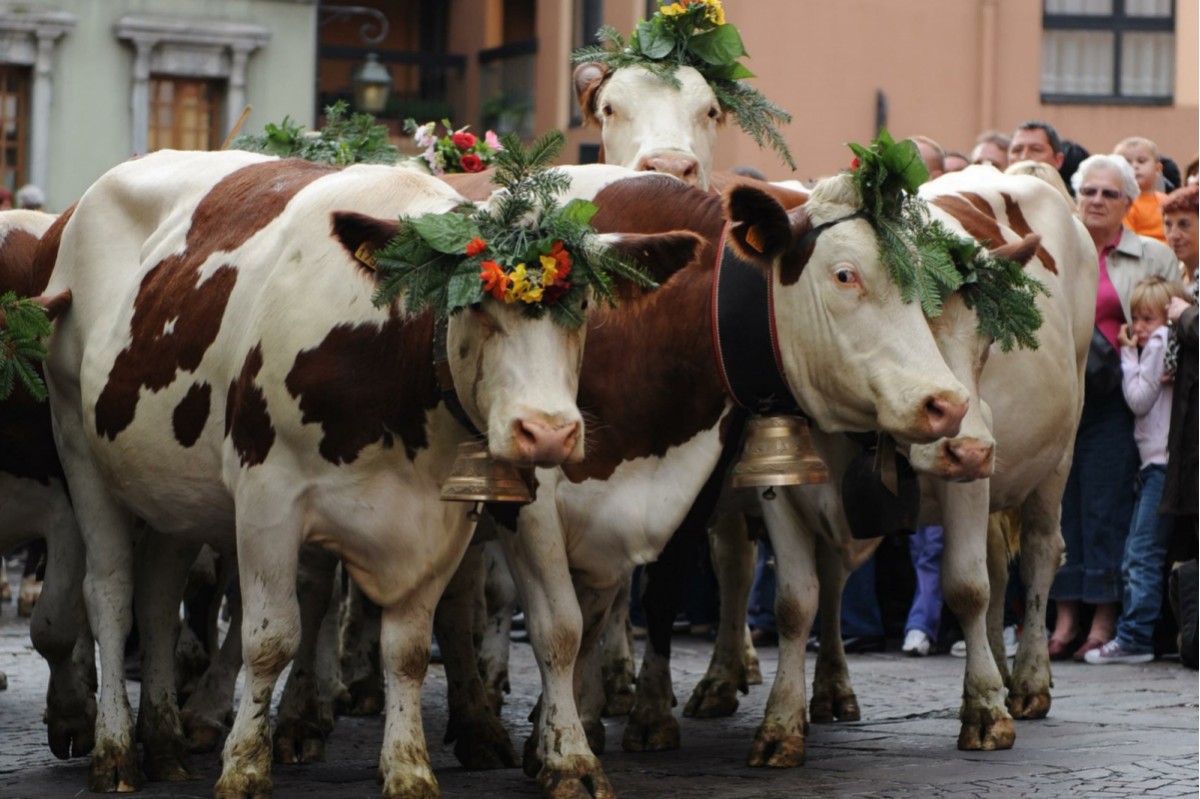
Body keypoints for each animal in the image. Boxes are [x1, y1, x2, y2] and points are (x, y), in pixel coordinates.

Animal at [39, 151, 696, 796]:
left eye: (581, 308)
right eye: (473, 303)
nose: (549, 431)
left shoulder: (462, 512)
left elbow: (458, 641)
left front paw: (424, 767)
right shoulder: (266, 495)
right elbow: (270, 637)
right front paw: (244, 767)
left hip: (172, 493)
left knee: (157, 601)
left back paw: (166, 744)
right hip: (78, 445)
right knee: (110, 596)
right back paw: (116, 751)